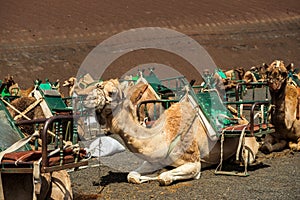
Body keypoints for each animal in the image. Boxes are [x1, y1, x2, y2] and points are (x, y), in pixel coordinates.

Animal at [83, 79, 258, 185]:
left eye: (111, 92)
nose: (86, 99)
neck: (164, 136)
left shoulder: (194, 163)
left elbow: (164, 177)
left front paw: (160, 175)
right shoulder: (153, 159)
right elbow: (131, 175)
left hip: (248, 148)